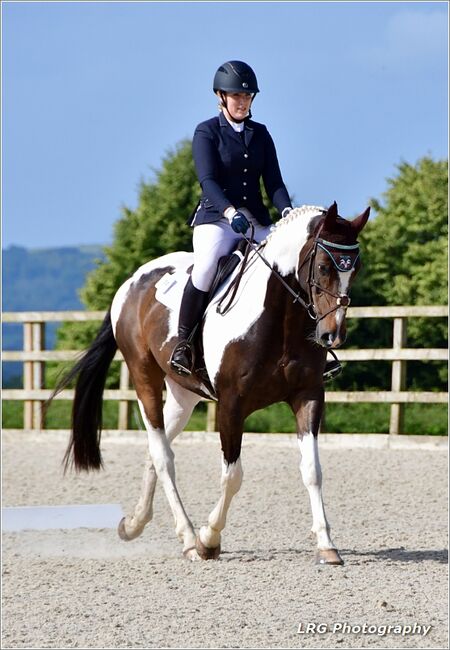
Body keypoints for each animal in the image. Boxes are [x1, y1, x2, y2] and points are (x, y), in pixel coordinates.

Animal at [52, 201, 370, 560]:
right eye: (323, 267)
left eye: (355, 268)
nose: (332, 335)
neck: (280, 320)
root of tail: (132, 281)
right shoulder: (231, 405)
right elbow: (232, 476)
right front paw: (209, 538)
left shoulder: (308, 395)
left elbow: (312, 470)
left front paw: (327, 545)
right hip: (144, 378)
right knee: (163, 456)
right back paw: (190, 538)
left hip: (183, 395)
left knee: (156, 450)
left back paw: (134, 524)